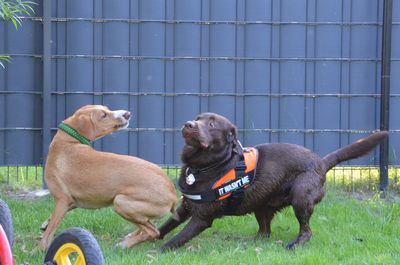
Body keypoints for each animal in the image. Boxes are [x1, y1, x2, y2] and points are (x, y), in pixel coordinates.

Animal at [40, 104, 177, 249]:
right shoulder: (71, 202)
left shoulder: (62, 200)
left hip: (120, 202)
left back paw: (123, 245)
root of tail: (173, 194)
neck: (68, 140)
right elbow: (50, 222)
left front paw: (39, 250)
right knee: (147, 225)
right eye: (104, 114)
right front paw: (45, 225)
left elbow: (48, 235)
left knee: (153, 231)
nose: (128, 114)